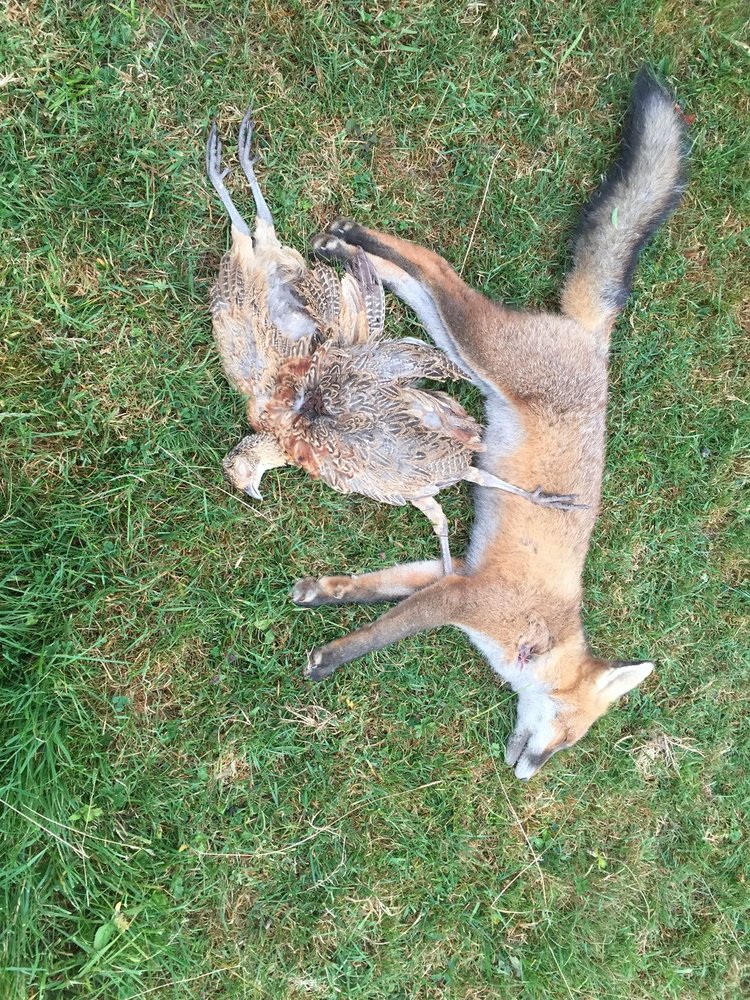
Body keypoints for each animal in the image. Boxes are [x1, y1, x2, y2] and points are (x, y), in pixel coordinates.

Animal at [289, 68, 689, 779]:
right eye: (568, 737)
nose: (528, 773)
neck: (538, 633)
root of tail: (593, 339)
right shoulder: (466, 599)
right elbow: (380, 636)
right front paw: (330, 659)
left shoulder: (452, 575)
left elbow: (376, 589)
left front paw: (324, 591)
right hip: (483, 342)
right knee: (437, 267)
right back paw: (352, 234)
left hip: (463, 352)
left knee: (419, 280)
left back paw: (349, 249)